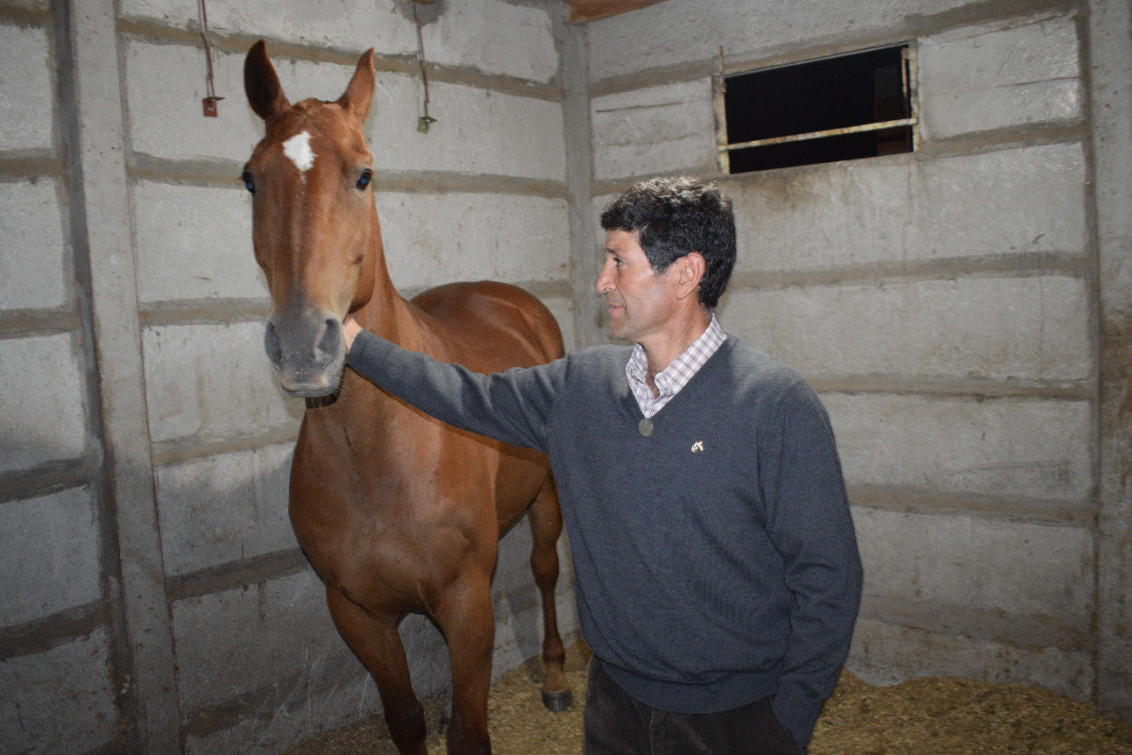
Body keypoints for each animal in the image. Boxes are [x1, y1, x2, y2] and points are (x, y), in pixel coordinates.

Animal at [242, 42, 570, 755]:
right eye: (250, 179)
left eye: (363, 175)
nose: (304, 345)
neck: (375, 449)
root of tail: (510, 299)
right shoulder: (357, 611)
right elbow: (406, 718)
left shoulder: (467, 603)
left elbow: (470, 729)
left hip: (548, 498)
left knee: (545, 569)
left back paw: (559, 678)